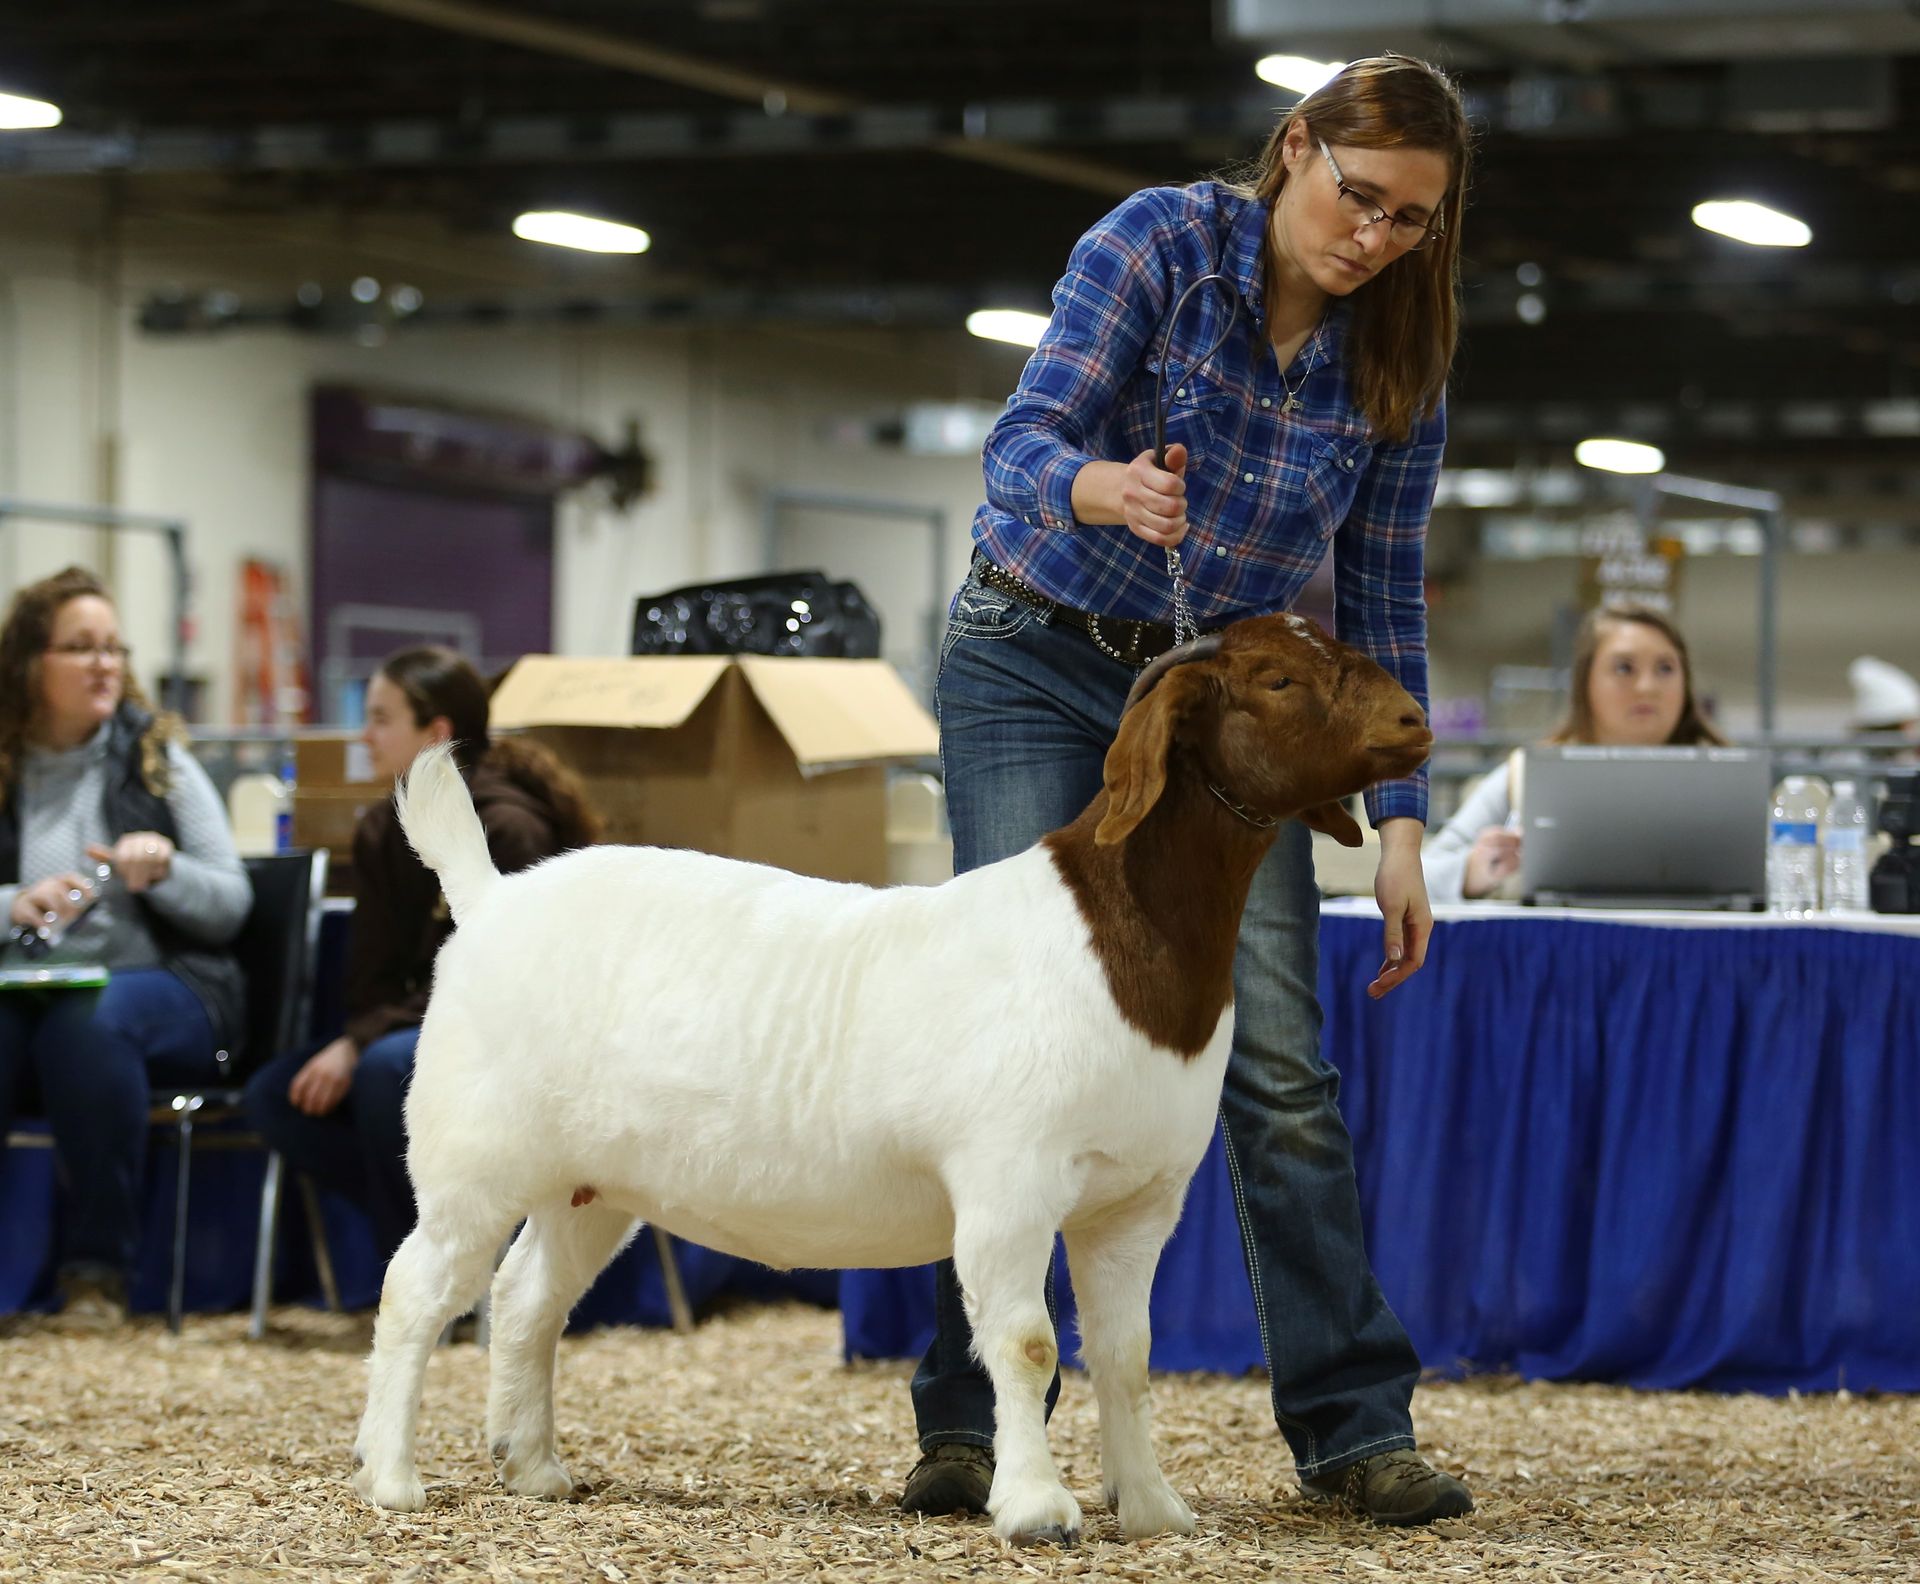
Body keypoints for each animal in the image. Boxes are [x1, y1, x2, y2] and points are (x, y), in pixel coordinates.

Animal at [349, 614, 1428, 1543]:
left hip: (590, 1181)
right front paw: (1038, 1510)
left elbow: (1125, 1357)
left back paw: (532, 1466)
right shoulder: (1007, 1187)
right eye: (1277, 680)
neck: (1114, 941)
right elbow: (1028, 1343)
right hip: (474, 1155)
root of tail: (490, 897)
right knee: (414, 1289)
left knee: (529, 1297)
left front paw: (1156, 1508)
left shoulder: (1138, 1201)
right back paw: (392, 1477)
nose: (1415, 722)